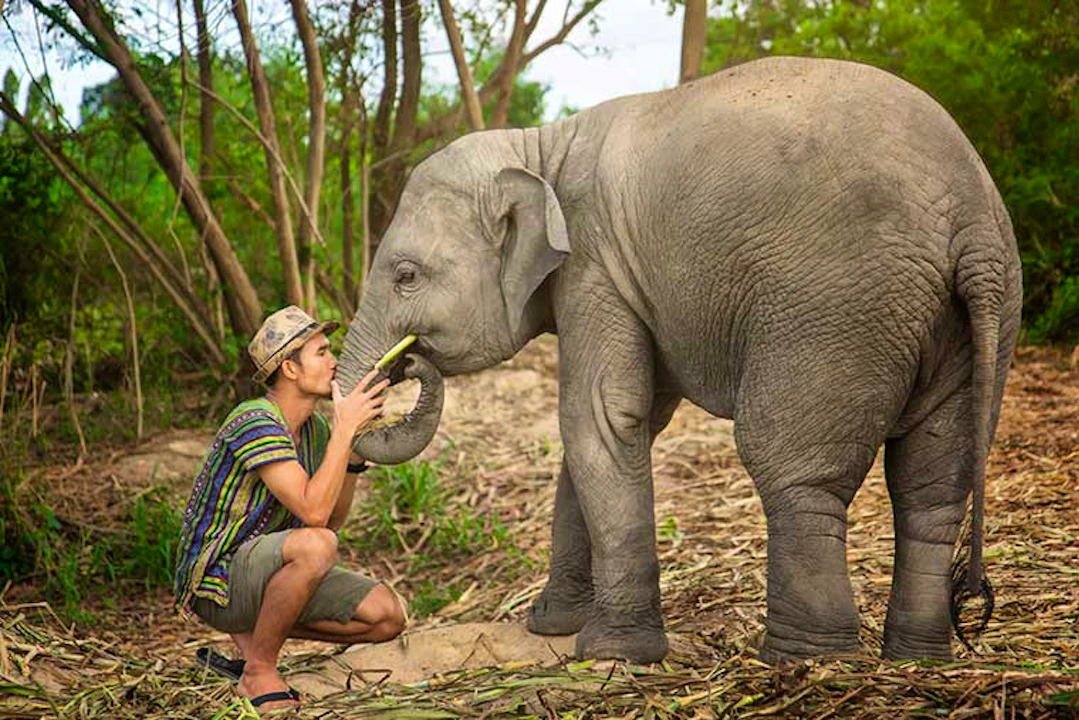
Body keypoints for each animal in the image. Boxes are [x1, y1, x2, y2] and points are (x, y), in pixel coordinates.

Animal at [338, 55, 1022, 665]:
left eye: (405, 275)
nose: (405, 363)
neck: (542, 148)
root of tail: (970, 221)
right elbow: (613, 429)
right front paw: (553, 627)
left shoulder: (596, 267)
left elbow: (599, 418)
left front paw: (614, 652)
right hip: (973, 321)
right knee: (931, 487)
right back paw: (917, 658)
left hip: (837, 309)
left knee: (793, 471)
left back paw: (806, 659)